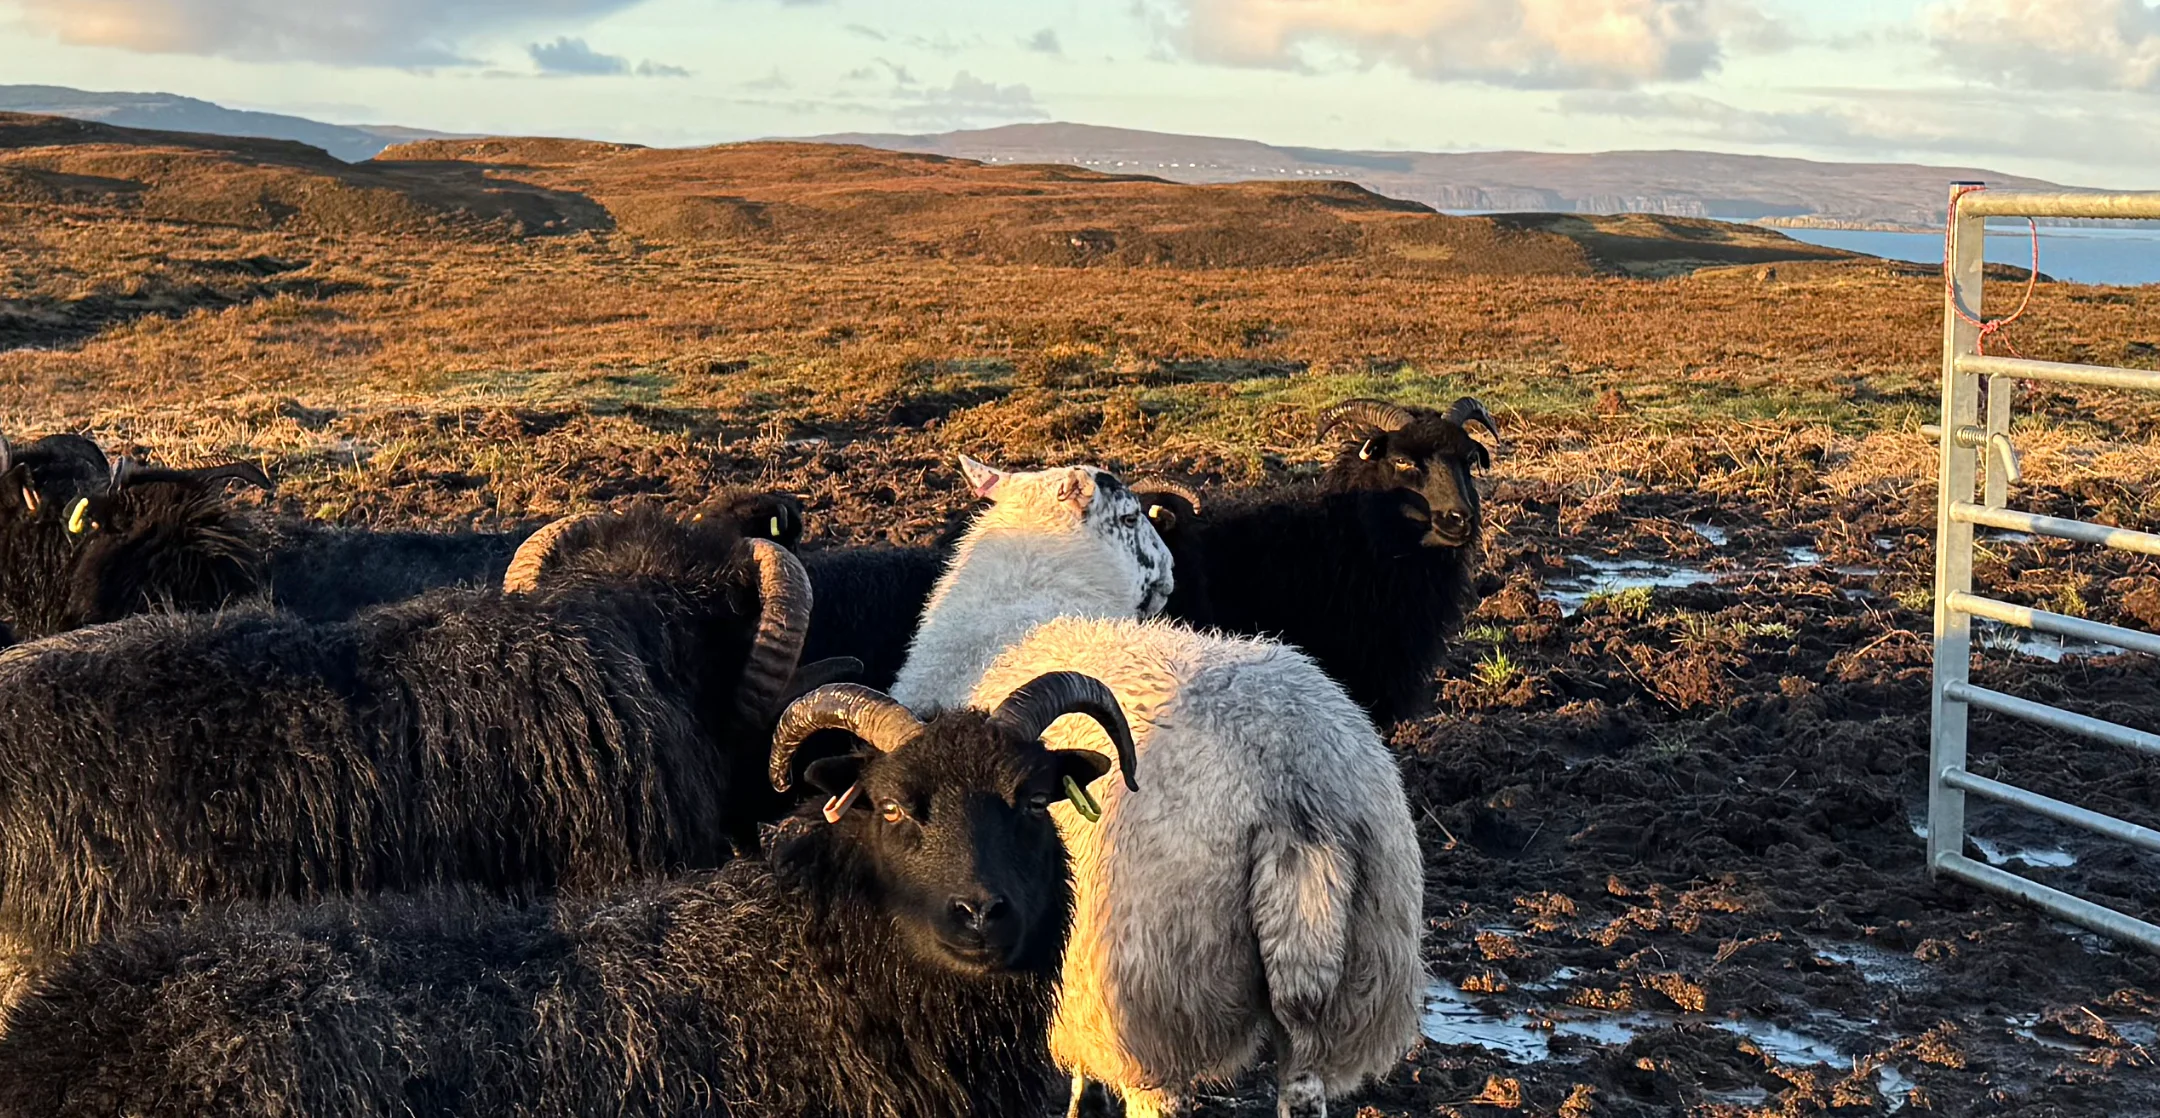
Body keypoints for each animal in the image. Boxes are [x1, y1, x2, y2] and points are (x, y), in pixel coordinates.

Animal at [891, 458, 1423, 1118]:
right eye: (1128, 517)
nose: (1170, 573)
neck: (1030, 599)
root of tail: (1292, 785)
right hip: (1359, 977)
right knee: (1304, 1084)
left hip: (1153, 989)